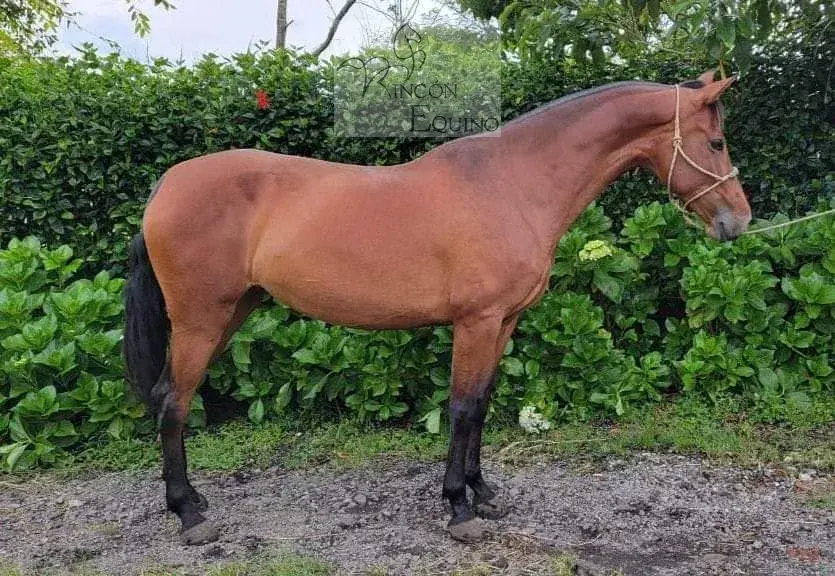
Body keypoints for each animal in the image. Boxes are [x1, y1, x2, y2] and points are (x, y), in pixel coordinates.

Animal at [123, 70, 751, 546]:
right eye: (717, 143)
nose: (739, 221)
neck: (512, 183)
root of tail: (165, 186)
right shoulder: (476, 322)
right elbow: (463, 407)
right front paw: (458, 509)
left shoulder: (504, 322)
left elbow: (483, 405)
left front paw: (483, 492)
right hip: (202, 320)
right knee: (174, 403)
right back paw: (189, 515)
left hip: (232, 313)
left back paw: (193, 500)